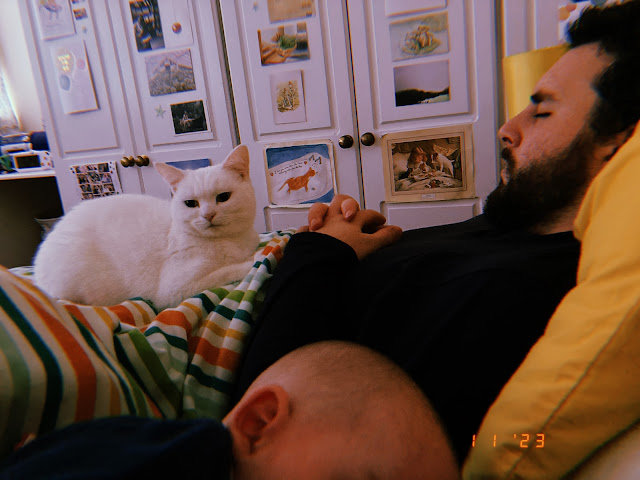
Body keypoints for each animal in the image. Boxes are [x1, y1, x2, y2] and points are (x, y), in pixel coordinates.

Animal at [33, 145, 260, 310]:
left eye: (223, 197)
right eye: (190, 203)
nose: (208, 215)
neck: (231, 241)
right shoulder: (175, 289)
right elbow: (227, 271)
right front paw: (250, 262)